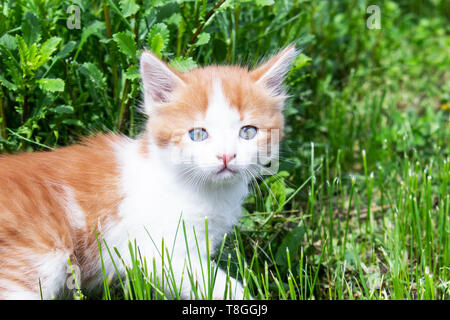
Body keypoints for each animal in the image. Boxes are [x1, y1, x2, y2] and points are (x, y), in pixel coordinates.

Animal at [0, 46, 298, 298]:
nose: (226, 155)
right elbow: (212, 283)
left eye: (248, 132)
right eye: (198, 134)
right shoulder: (157, 250)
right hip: (36, 263)